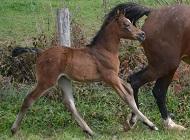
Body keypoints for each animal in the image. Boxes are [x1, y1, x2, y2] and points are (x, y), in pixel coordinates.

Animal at [10, 5, 157, 136]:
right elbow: (126, 97)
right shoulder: (109, 77)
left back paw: (89, 131)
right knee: (29, 99)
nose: (142, 34)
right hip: (46, 81)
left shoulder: (114, 76)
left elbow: (129, 89)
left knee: (69, 103)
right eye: (126, 24)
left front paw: (131, 123)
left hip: (63, 79)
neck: (105, 50)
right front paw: (150, 124)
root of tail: (40, 53)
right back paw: (14, 129)